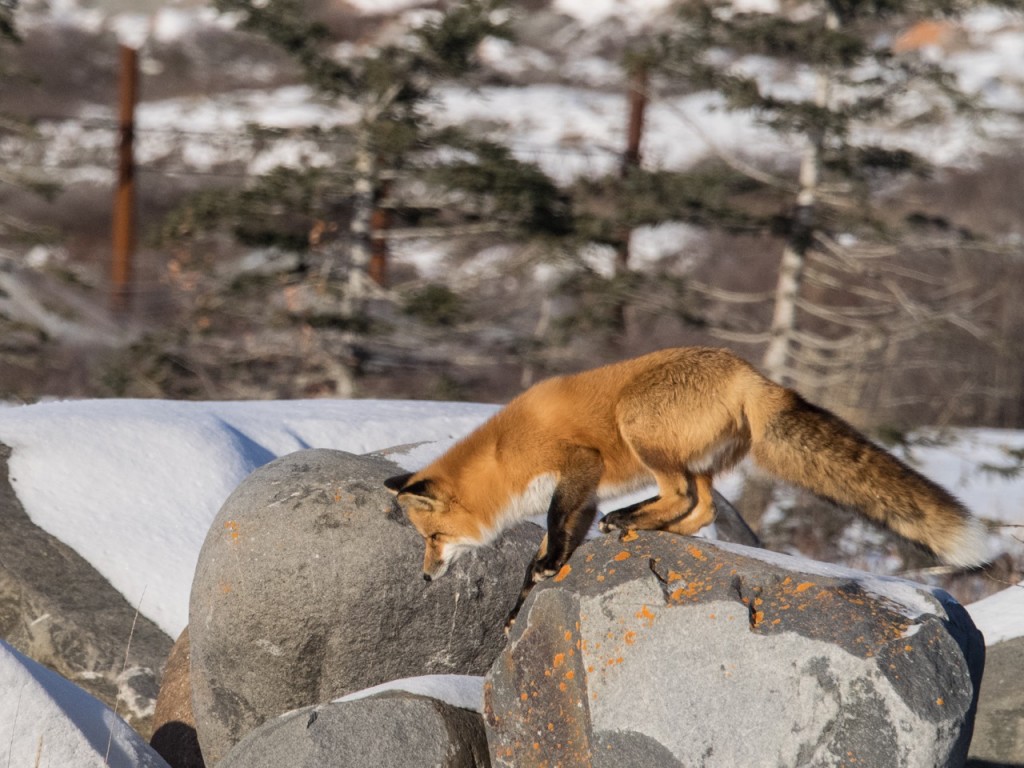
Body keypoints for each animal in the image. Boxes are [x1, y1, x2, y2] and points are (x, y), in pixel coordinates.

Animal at [385, 347, 988, 625]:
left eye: (433, 538)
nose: (425, 576)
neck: (504, 454)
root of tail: (749, 371)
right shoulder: (586, 492)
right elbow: (548, 549)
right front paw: (523, 601)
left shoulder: (577, 466)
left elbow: (553, 530)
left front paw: (547, 567)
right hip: (692, 461)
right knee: (700, 510)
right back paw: (642, 524)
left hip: (640, 429)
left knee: (683, 499)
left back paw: (630, 519)